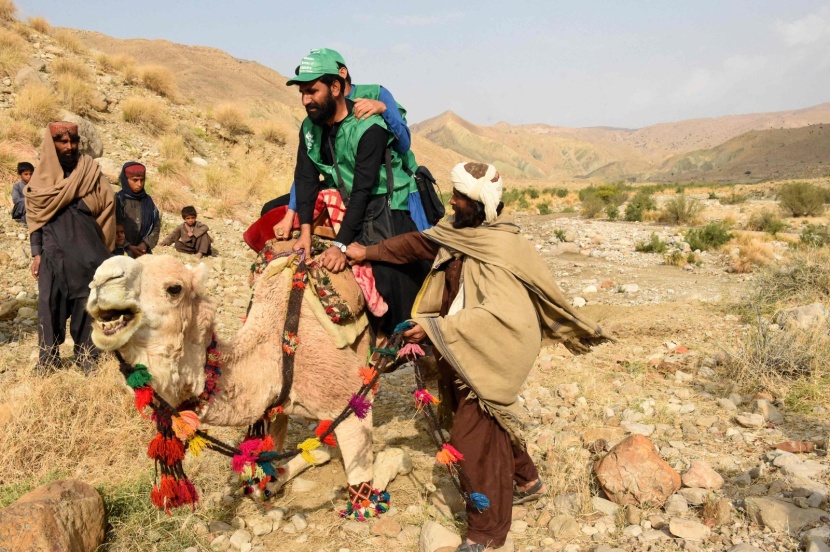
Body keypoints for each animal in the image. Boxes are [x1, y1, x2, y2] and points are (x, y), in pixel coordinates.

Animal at [87, 256, 376, 496]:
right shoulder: (276, 404)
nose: (101, 279)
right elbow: (271, 449)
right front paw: (269, 481)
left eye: (174, 288)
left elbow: (359, 471)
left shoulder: (343, 393)